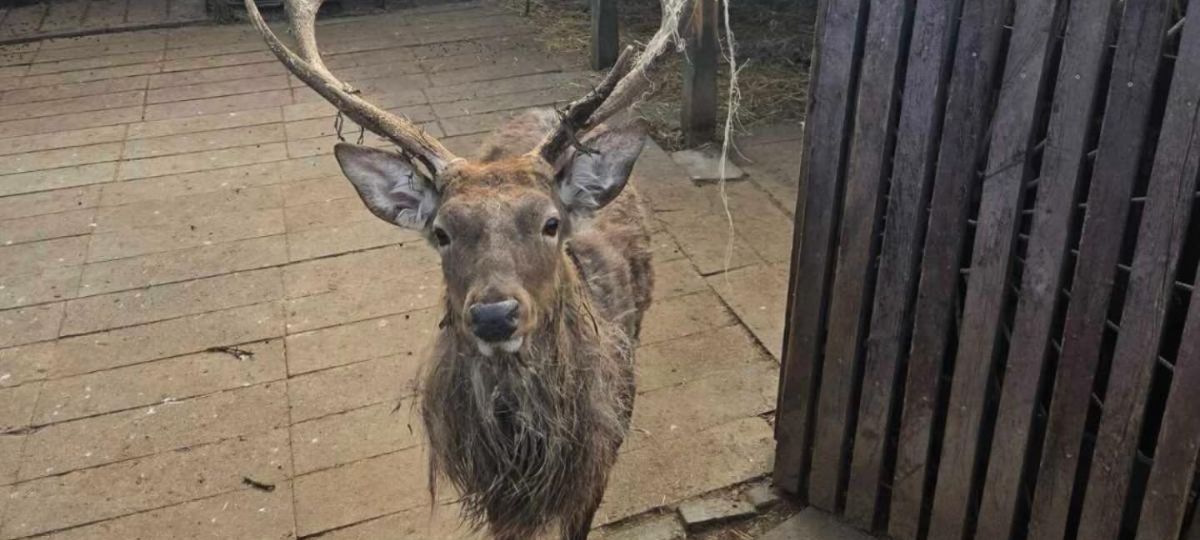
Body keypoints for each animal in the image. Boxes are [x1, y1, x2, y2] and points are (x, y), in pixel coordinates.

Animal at [244, 0, 693, 538]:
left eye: (551, 223)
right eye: (442, 232)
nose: (494, 316)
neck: (523, 453)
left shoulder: (596, 464)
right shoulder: (493, 491)